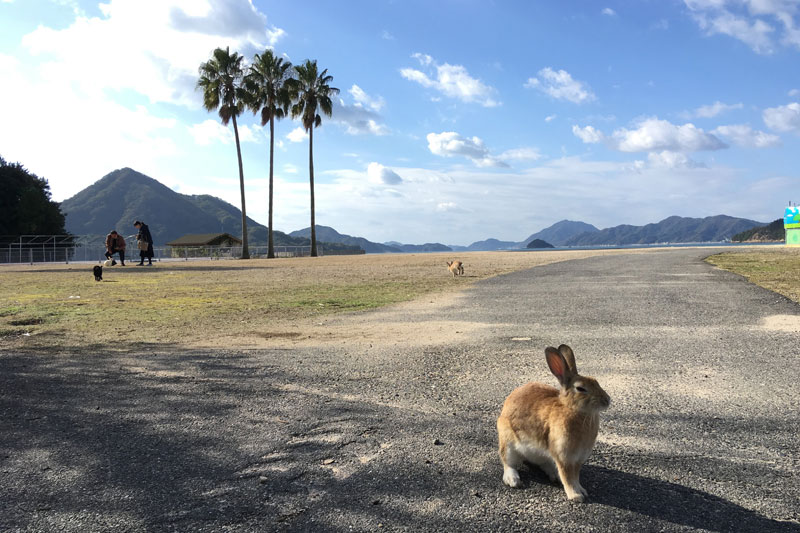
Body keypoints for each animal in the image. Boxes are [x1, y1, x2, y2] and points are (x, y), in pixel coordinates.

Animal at [494, 342, 612, 500]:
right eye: (581, 388)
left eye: (596, 381)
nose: (607, 400)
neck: (572, 409)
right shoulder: (564, 456)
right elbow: (568, 477)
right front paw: (576, 496)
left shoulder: (577, 459)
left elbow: (575, 477)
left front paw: (581, 491)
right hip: (507, 442)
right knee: (508, 463)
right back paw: (513, 480)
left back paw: (554, 476)